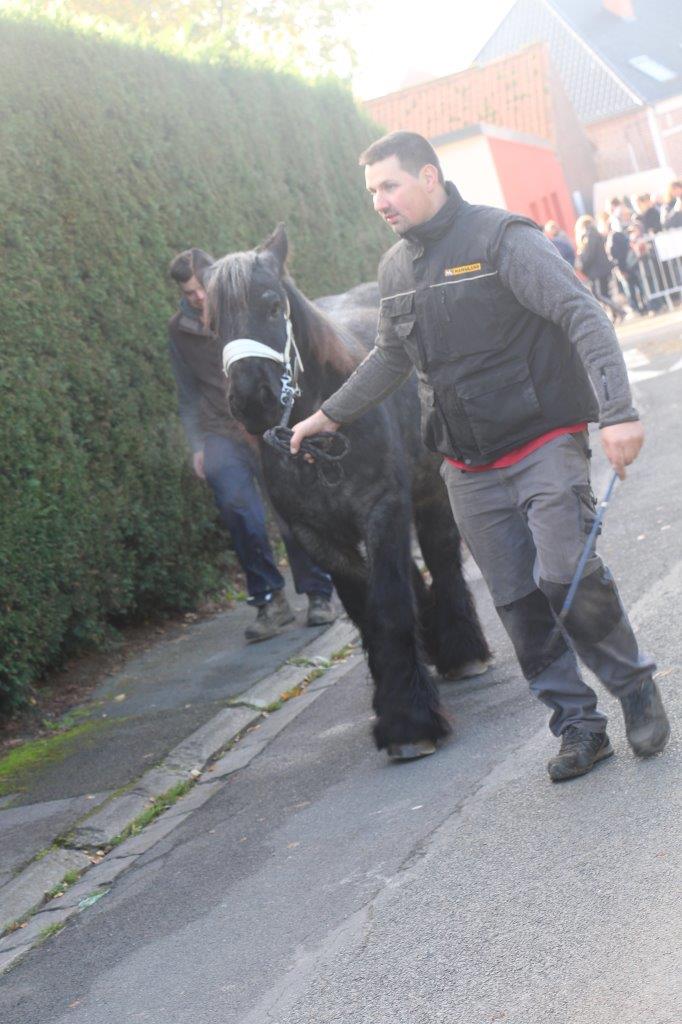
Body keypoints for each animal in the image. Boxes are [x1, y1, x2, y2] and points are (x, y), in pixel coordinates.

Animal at [204, 230, 485, 761]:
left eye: (272, 305)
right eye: (211, 323)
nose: (250, 399)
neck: (313, 436)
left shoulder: (383, 508)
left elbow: (389, 603)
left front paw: (409, 723)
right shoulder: (314, 535)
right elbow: (367, 608)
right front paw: (397, 704)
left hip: (430, 492)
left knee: (440, 557)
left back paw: (463, 649)